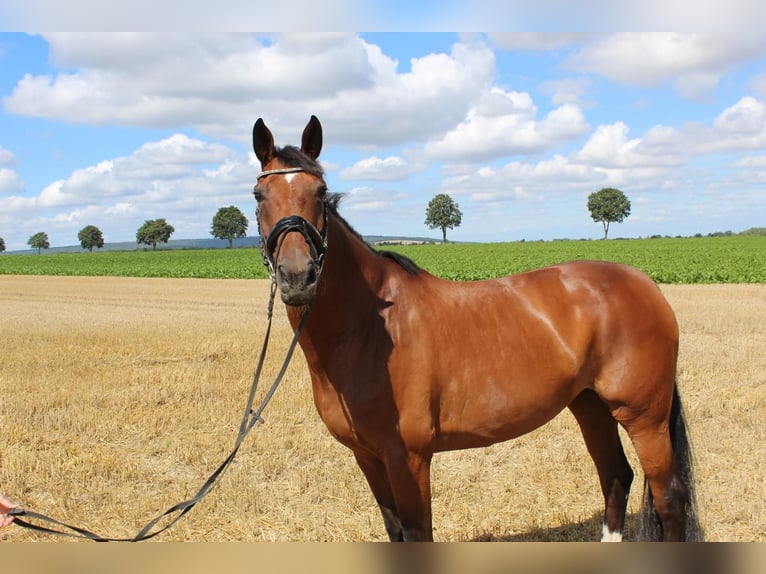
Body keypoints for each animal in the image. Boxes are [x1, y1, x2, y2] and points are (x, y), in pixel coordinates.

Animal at [250, 115, 704, 544]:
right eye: (259, 196)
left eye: (320, 191)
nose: (297, 277)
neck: (368, 332)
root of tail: (645, 284)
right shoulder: (368, 457)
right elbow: (395, 530)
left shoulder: (408, 458)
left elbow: (417, 532)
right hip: (591, 406)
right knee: (615, 477)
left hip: (644, 417)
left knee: (669, 498)